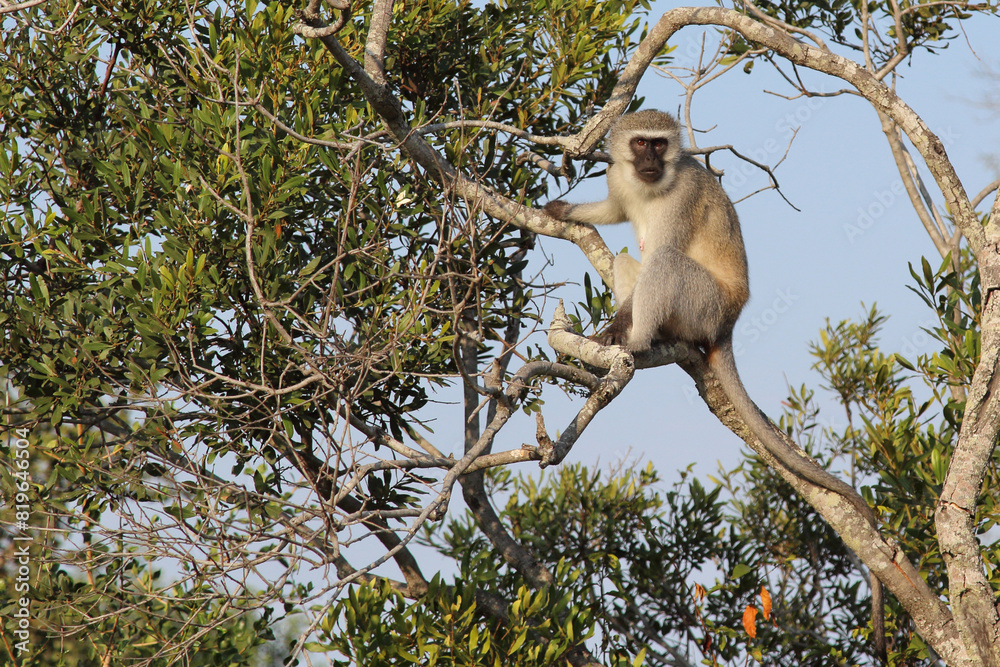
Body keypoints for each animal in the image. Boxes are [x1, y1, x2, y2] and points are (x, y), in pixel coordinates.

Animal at [543, 109, 887, 664]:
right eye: (640, 144)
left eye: (660, 146)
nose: (650, 160)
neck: (651, 185)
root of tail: (728, 322)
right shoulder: (620, 181)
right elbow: (614, 211)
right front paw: (566, 207)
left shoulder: (681, 196)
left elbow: (662, 251)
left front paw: (615, 330)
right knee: (628, 260)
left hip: (704, 305)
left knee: (661, 264)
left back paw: (636, 341)